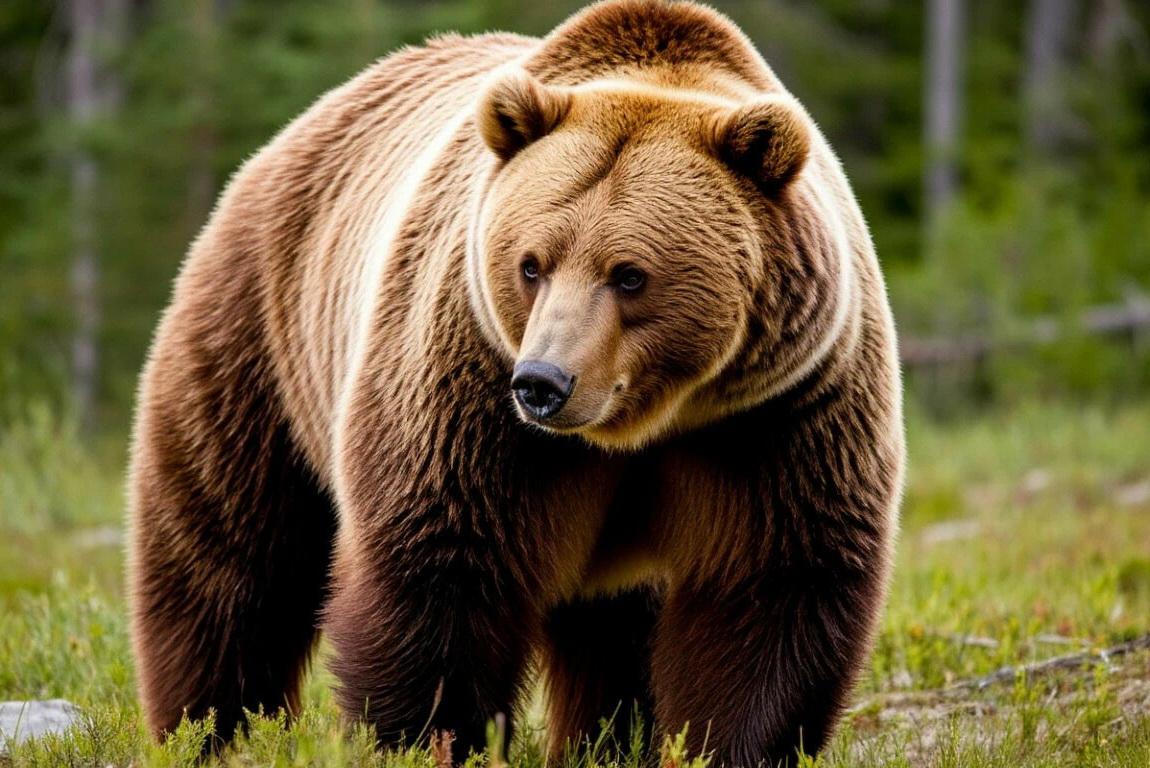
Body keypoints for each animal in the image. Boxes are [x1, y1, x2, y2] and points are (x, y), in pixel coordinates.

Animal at [126, 0, 904, 765]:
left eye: (629, 274)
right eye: (532, 264)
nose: (542, 383)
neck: (643, 423)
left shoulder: (779, 413)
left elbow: (773, 586)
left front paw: (722, 743)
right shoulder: (468, 384)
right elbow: (442, 563)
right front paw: (425, 736)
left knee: (612, 629)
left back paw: (606, 742)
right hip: (261, 332)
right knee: (233, 557)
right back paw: (211, 730)